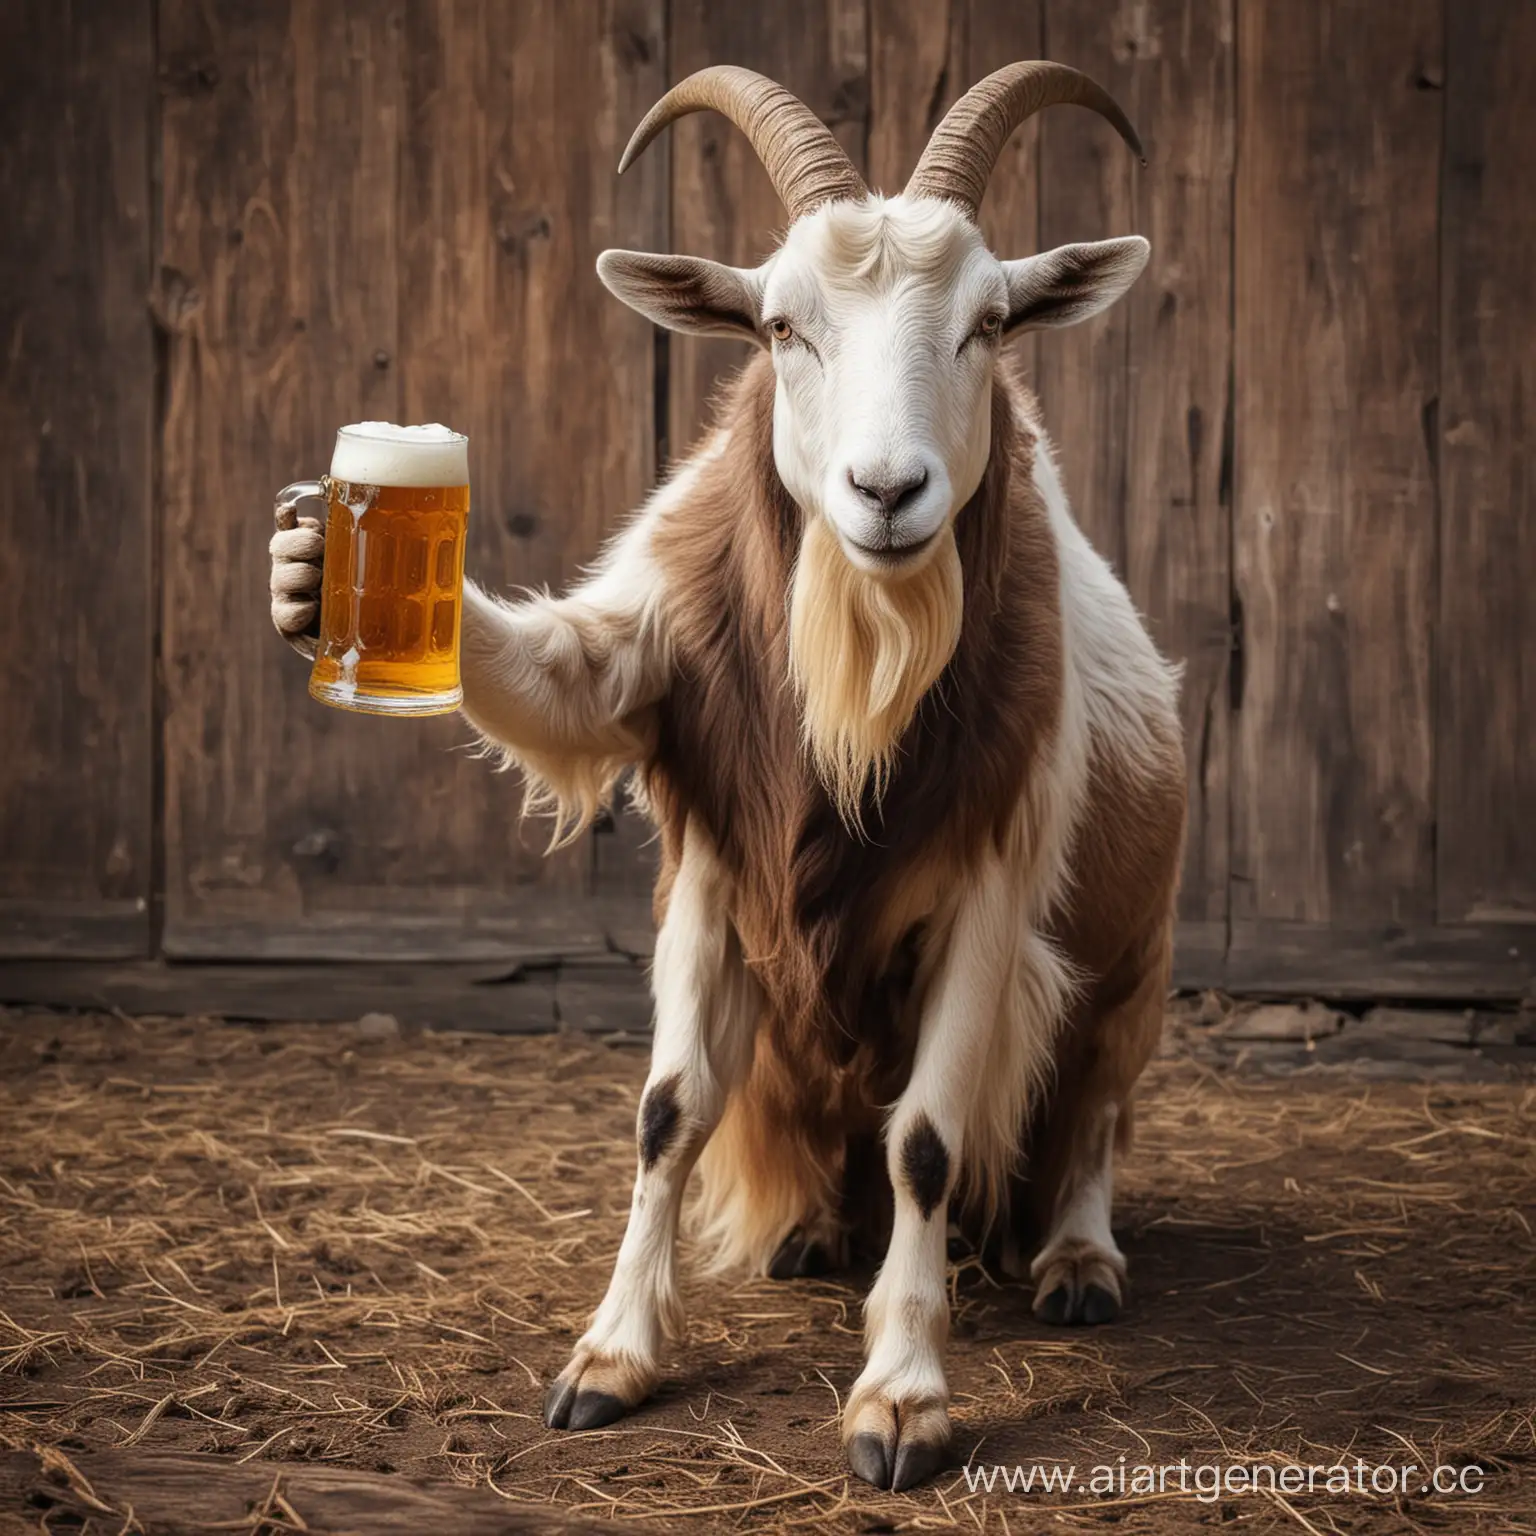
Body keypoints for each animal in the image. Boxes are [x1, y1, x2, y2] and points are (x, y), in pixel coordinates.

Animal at [273, 59, 1185, 1486]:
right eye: (776, 326)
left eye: (988, 323)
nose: (886, 491)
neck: (859, 658)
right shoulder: (700, 817)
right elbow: (666, 1109)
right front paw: (610, 1357)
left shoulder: (991, 877)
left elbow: (929, 1141)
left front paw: (900, 1399)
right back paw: (811, 1231)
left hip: (1133, 964)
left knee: (1091, 1108)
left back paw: (1077, 1261)